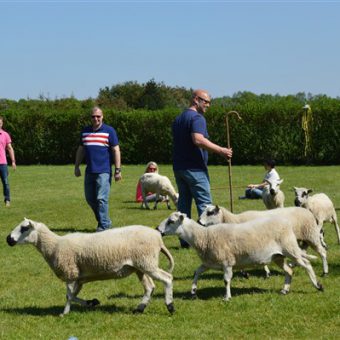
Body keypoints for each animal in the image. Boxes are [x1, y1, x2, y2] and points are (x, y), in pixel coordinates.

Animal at [6, 218, 174, 316]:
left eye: (24, 228)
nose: (8, 239)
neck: (54, 245)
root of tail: (158, 237)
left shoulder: (70, 272)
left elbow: (69, 296)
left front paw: (64, 313)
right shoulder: (78, 277)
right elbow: (72, 296)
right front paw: (92, 302)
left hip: (147, 262)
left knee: (167, 278)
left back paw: (170, 306)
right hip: (140, 266)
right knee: (150, 287)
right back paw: (139, 308)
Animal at [158, 211, 322, 302]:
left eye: (171, 221)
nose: (158, 229)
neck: (204, 236)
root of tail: (286, 223)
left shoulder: (227, 262)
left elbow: (226, 280)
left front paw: (227, 297)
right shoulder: (209, 262)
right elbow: (196, 272)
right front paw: (193, 291)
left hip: (290, 248)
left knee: (306, 264)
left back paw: (318, 285)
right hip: (278, 256)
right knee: (289, 271)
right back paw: (284, 290)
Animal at [198, 205, 328, 276]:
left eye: (210, 212)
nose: (199, 222)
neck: (235, 220)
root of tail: (308, 211)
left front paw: (266, 272)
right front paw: (245, 272)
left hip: (311, 235)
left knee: (322, 252)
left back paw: (325, 271)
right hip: (302, 238)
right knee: (303, 251)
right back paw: (294, 264)